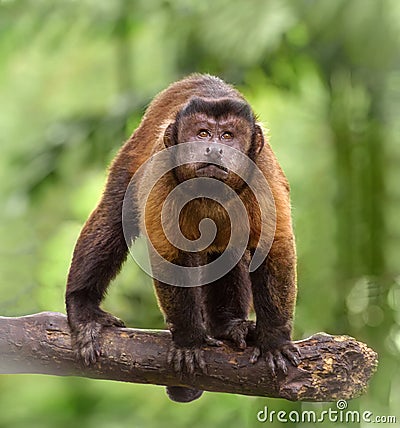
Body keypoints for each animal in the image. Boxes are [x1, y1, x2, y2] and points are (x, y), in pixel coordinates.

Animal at [65, 72, 300, 402]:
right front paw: (190, 341)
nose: (214, 149)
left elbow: (273, 248)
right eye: (202, 133)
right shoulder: (163, 171)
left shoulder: (262, 172)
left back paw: (227, 326)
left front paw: (274, 341)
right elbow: (169, 254)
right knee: (113, 215)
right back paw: (82, 307)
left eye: (227, 136)